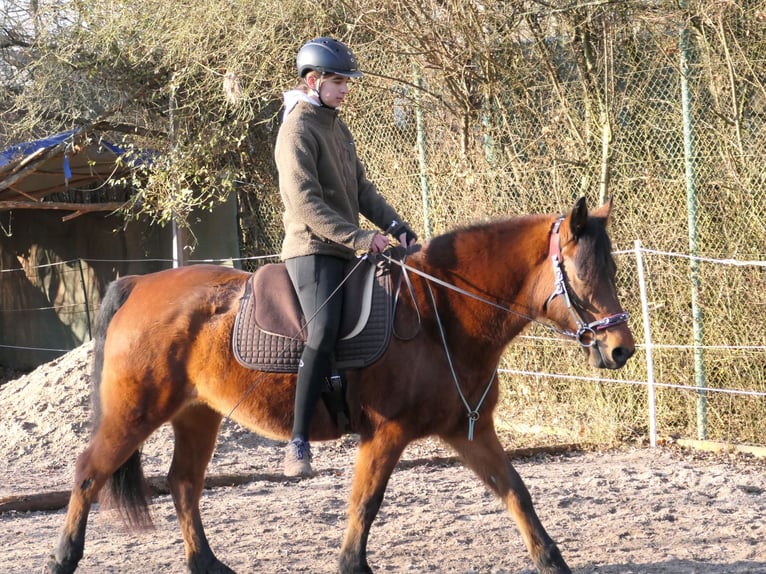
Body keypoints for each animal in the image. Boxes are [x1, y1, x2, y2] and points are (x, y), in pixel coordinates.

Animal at [46, 198, 636, 574]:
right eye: (584, 275)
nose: (621, 349)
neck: (440, 313)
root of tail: (140, 281)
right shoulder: (386, 435)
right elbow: (365, 503)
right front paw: (352, 564)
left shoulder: (468, 431)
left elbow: (516, 491)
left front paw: (552, 561)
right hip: (134, 413)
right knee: (89, 474)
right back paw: (62, 559)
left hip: (198, 414)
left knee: (184, 484)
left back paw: (207, 564)